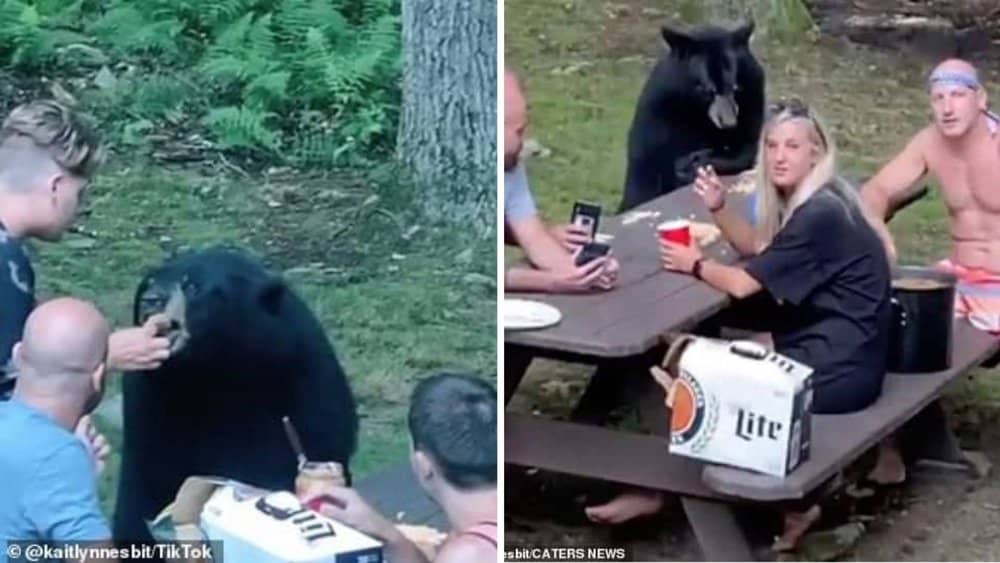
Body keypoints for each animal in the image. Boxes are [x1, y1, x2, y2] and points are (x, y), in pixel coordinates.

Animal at [112, 247, 359, 547]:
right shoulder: (152, 403)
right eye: (148, 283)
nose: (151, 299)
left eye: (193, 286)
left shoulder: (305, 385)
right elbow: (152, 480)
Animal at [619, 20, 766, 211]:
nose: (729, 123)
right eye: (707, 91)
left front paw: (697, 162)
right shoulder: (662, 115)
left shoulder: (752, 98)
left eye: (735, 87)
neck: (696, 110)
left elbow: (746, 148)